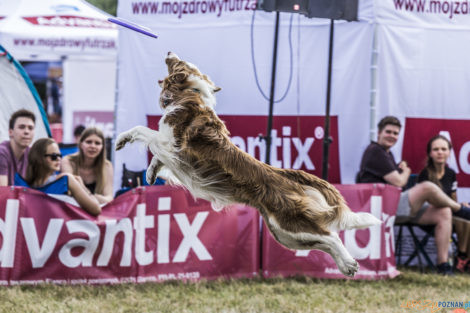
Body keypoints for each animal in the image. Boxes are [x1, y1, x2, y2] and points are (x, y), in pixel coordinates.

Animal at [116, 52, 382, 276]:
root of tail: (284, 175)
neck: (191, 92)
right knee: (325, 239)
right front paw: (151, 173)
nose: (169, 52)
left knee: (331, 236)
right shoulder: (172, 152)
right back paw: (346, 265)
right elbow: (156, 156)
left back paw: (348, 263)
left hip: (290, 223)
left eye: (180, 62)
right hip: (283, 234)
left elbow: (143, 132)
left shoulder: (173, 144)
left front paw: (121, 139)